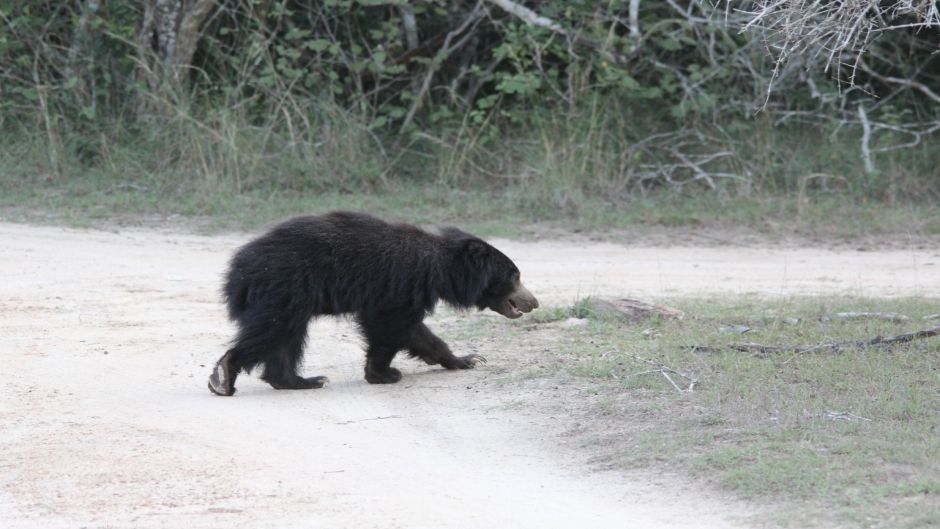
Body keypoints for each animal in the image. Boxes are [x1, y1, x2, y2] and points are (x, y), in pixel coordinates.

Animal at [208, 211, 538, 396]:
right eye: (515, 276)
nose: (533, 302)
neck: (440, 269)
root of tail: (238, 267)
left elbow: (418, 334)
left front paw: (467, 359)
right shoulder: (400, 284)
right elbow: (391, 326)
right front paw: (384, 374)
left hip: (287, 296)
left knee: (285, 339)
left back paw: (300, 380)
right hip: (285, 288)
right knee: (273, 332)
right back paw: (224, 375)